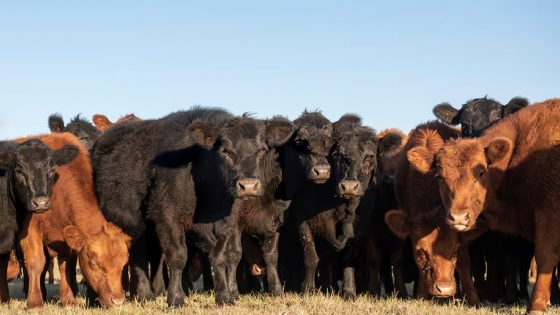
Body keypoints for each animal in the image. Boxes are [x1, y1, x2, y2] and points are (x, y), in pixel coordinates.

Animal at [11, 132, 131, 310]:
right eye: (94, 263)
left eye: (123, 264)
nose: (117, 301)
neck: (60, 189)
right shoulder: (30, 230)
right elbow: (36, 262)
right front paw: (35, 303)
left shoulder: (65, 235)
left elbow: (65, 265)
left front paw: (68, 300)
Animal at [384, 122, 486, 308]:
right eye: (421, 251)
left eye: (455, 249)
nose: (444, 289)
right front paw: (421, 295)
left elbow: (464, 262)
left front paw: (472, 297)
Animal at [436, 98, 560, 314]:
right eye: (441, 177)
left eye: (480, 173)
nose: (458, 217)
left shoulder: (548, 212)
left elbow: (545, 257)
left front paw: (536, 304)